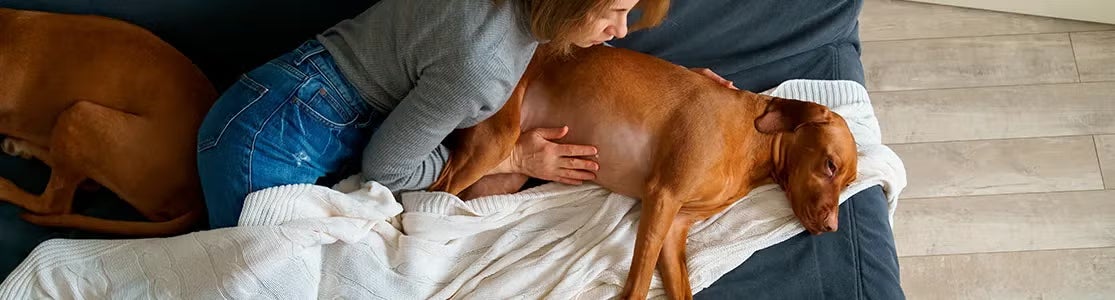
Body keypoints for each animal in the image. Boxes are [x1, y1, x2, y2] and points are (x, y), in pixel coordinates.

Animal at [430, 45, 856, 296]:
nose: (832, 227)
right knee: (433, 195)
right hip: (494, 143)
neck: (752, 144)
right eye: (829, 165)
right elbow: (637, 282)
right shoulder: (662, 197)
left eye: (849, 181)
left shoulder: (674, 228)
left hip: (502, 176)